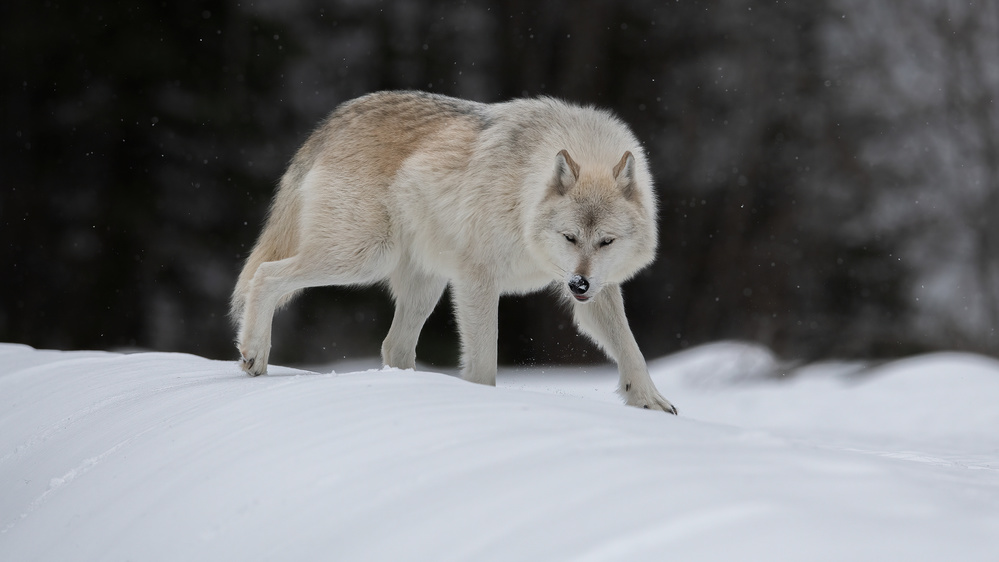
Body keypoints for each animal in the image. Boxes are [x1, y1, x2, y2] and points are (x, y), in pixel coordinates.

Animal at [230, 91, 676, 412]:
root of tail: (333, 121)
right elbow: (483, 361)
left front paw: (651, 402)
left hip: (423, 285)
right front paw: (481, 401)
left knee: (394, 346)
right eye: (569, 237)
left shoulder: (598, 290)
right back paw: (254, 355)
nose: (579, 284)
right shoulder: (476, 280)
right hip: (362, 257)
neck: (523, 193)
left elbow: (631, 348)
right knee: (265, 275)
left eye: (606, 242)